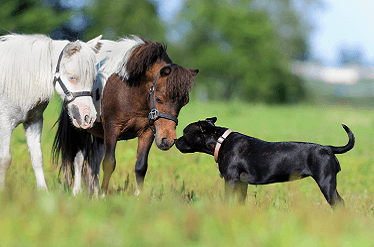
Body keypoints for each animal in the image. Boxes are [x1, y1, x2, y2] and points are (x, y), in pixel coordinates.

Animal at [0, 33, 101, 191]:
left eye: (93, 79)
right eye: (72, 77)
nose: (88, 118)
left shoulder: (34, 122)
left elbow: (37, 157)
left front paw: (43, 191)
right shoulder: (5, 123)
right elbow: (4, 159)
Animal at [53, 36, 199, 195]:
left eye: (184, 102)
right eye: (159, 98)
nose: (167, 140)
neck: (129, 89)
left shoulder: (147, 132)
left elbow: (141, 166)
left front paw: (138, 197)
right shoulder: (111, 129)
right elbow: (109, 163)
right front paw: (103, 195)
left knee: (95, 161)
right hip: (80, 126)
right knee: (79, 159)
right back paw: (77, 192)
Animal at [175, 116, 354, 207]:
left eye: (185, 132)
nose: (175, 140)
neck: (220, 140)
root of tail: (328, 148)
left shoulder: (231, 180)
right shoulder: (242, 183)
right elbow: (240, 201)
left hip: (326, 182)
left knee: (338, 203)